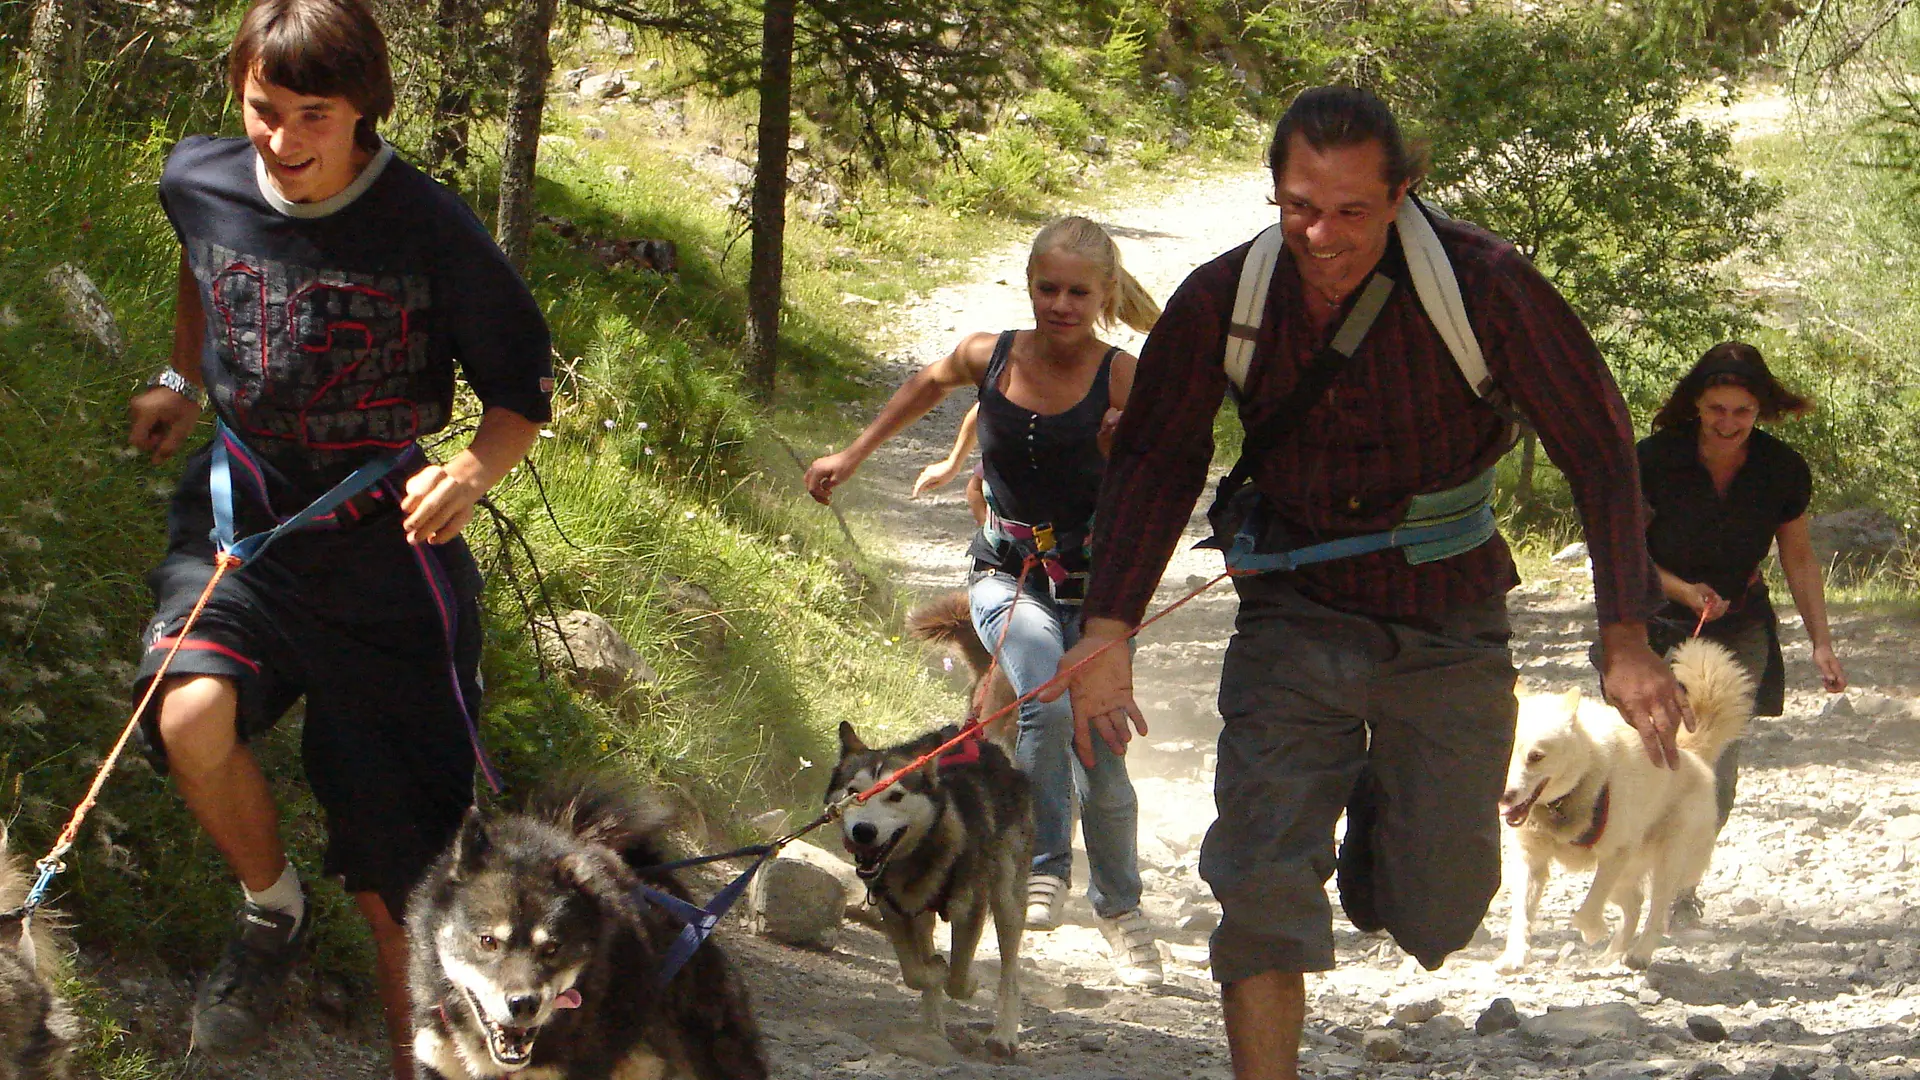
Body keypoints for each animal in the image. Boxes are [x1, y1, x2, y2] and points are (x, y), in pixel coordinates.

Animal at [829, 718, 1036, 1053]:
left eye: (896, 796)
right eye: (853, 792)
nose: (863, 831)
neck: (922, 852)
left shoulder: (972, 908)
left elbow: (959, 977)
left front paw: (968, 981)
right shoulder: (893, 910)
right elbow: (914, 973)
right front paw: (934, 970)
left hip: (1008, 895)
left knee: (1010, 972)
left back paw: (1003, 1035)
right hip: (921, 913)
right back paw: (932, 1024)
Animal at [1497, 634, 1758, 972]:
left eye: (1536, 756)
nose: (1505, 796)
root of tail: (1688, 752)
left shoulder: (1615, 853)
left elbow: (1589, 907)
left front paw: (1592, 930)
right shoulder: (1532, 860)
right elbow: (1522, 914)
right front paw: (1515, 955)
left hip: (1667, 861)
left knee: (1656, 910)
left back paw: (1639, 953)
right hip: (1629, 871)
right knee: (1634, 903)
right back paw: (1613, 953)